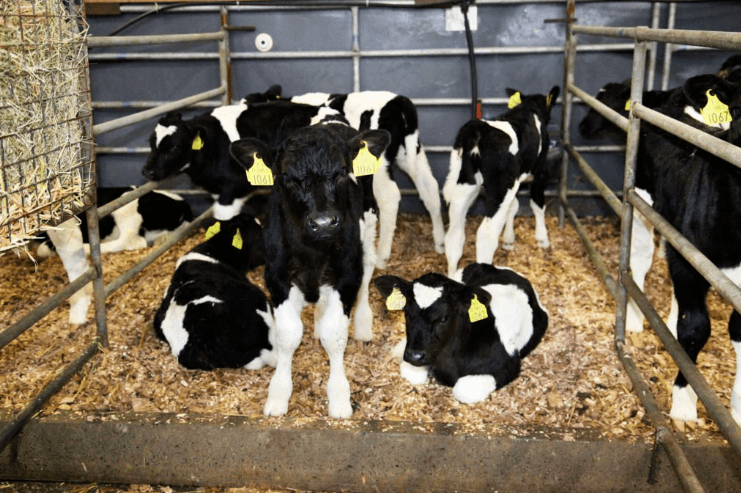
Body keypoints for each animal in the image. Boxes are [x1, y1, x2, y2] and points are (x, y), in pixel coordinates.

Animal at [230, 123, 391, 418]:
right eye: (285, 176)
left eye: (342, 171)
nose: (324, 222)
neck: (313, 251)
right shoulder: (277, 277)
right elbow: (287, 335)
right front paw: (278, 395)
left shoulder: (346, 274)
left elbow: (335, 334)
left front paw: (339, 397)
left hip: (369, 223)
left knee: (367, 272)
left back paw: (363, 324)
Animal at [247, 86, 445, 268]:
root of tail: (398, 100)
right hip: (412, 153)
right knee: (430, 188)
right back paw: (440, 244)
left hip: (380, 166)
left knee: (389, 197)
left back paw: (382, 257)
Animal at [374, 262, 548, 403]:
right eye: (407, 313)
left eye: (444, 317)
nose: (414, 356)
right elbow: (411, 373)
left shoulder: (508, 365)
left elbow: (462, 390)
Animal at [443, 86, 560, 277]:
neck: (529, 107)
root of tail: (480, 127)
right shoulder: (539, 172)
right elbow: (537, 204)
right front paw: (542, 239)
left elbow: (514, 206)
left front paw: (508, 240)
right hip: (499, 189)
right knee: (486, 235)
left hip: (465, 186)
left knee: (455, 234)